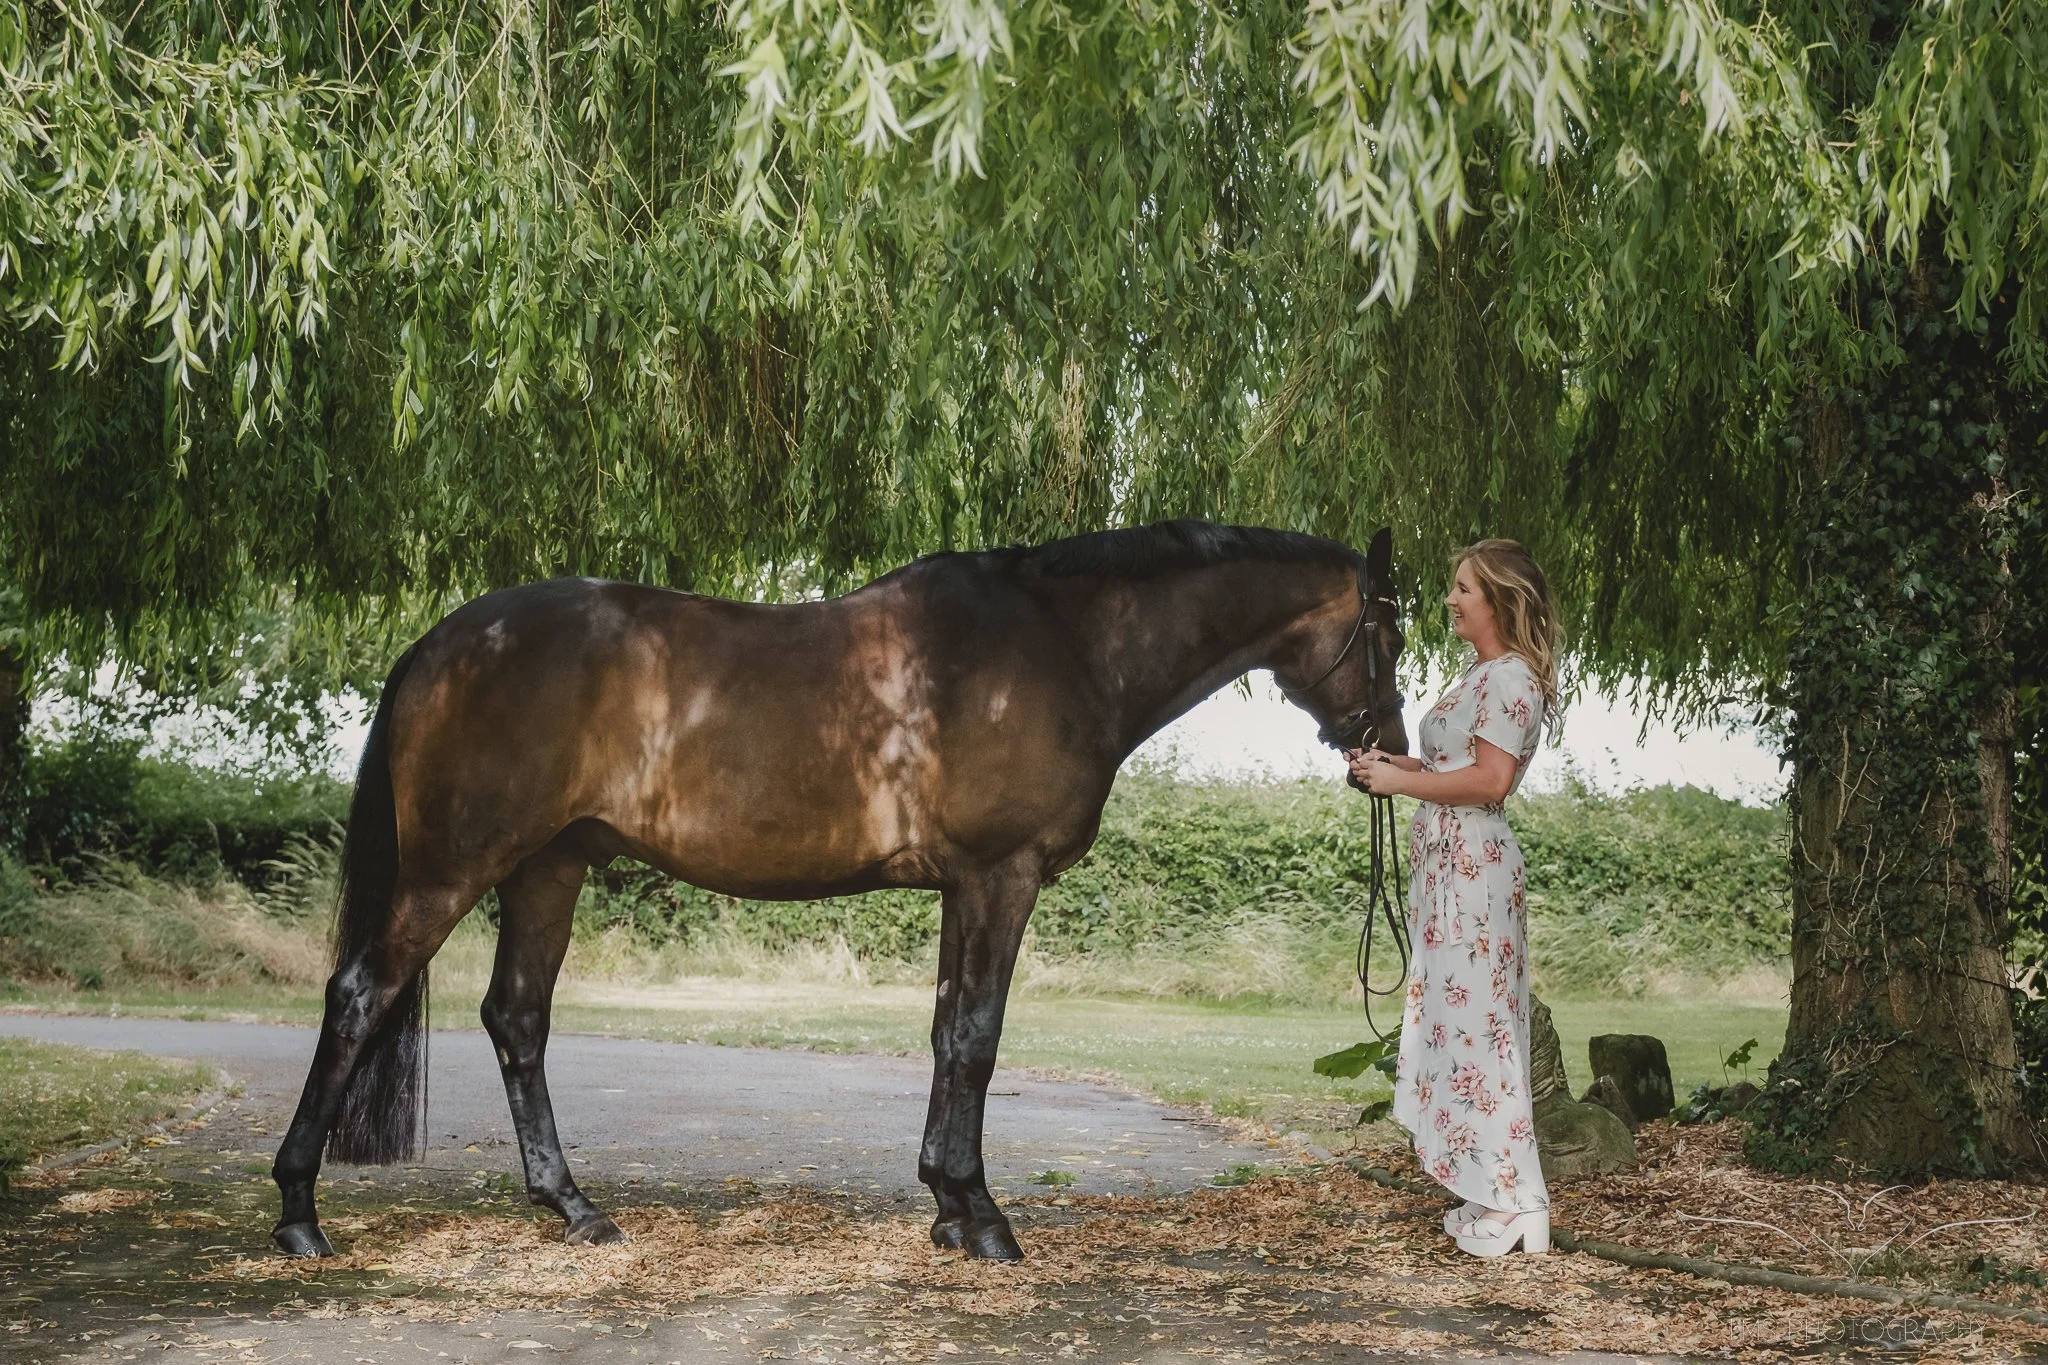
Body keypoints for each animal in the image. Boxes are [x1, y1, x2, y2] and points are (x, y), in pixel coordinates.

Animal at [270, 520, 1408, 1261]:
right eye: (1390, 633)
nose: (1386, 748)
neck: (1059, 645)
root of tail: (442, 643)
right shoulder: (1000, 877)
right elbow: (976, 1038)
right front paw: (984, 1223)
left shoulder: (963, 887)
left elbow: (948, 1031)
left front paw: (947, 1203)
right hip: (454, 869)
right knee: (360, 996)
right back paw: (298, 1214)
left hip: (548, 867)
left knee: (516, 1018)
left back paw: (574, 1209)